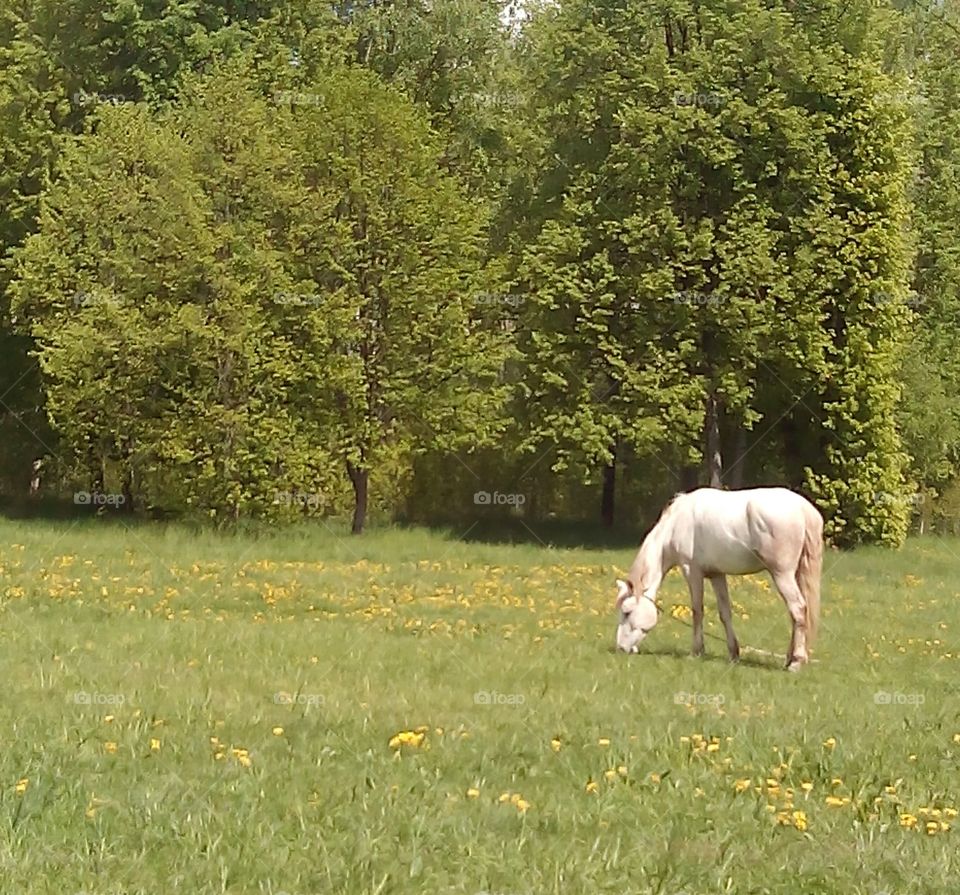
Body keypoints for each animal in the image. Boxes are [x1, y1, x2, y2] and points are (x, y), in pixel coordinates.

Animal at [616, 490, 824, 672]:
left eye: (627, 612)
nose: (620, 648)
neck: (677, 523)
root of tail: (803, 508)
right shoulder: (717, 575)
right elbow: (725, 613)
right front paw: (733, 654)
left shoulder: (692, 572)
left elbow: (697, 611)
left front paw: (696, 651)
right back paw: (789, 659)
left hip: (782, 574)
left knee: (798, 609)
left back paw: (795, 662)